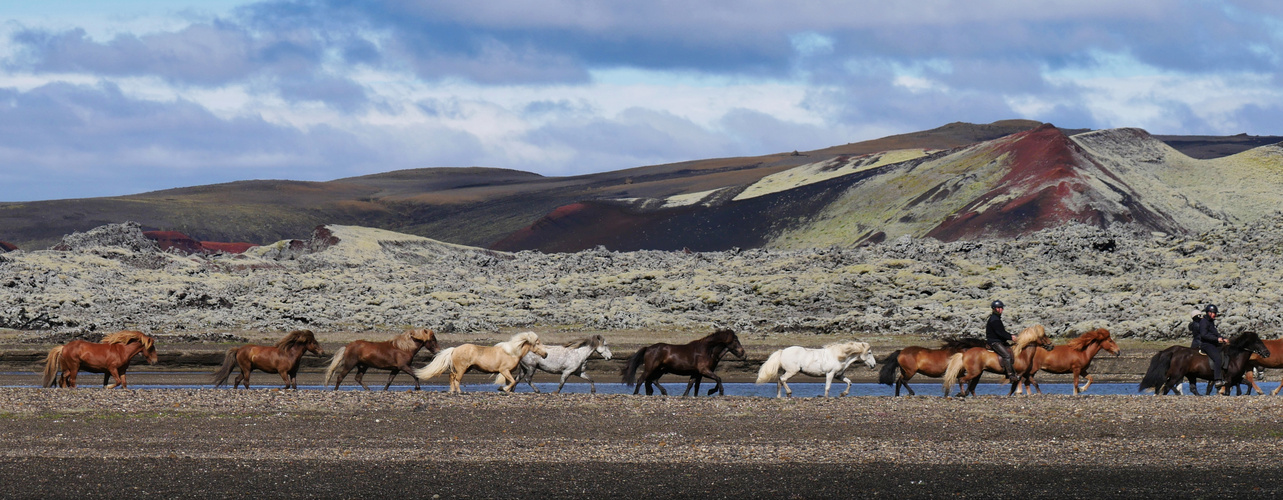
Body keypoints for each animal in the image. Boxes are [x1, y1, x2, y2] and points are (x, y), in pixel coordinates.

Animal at [413, 330, 549, 394]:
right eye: (537, 343)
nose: (546, 354)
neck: (512, 352)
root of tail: (454, 349)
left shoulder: (507, 372)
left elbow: (511, 382)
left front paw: (505, 389)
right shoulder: (504, 370)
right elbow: (512, 381)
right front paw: (503, 389)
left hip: (462, 368)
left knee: (451, 376)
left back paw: (452, 391)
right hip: (462, 369)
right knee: (457, 379)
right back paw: (460, 392)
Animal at [1139, 330, 1267, 397]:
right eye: (1257, 342)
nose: (1267, 353)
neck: (1234, 357)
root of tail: (1171, 351)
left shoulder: (1236, 378)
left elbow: (1248, 384)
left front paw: (1246, 393)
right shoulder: (1229, 379)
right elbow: (1226, 390)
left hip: (1189, 375)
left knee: (1188, 388)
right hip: (1176, 374)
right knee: (1167, 386)